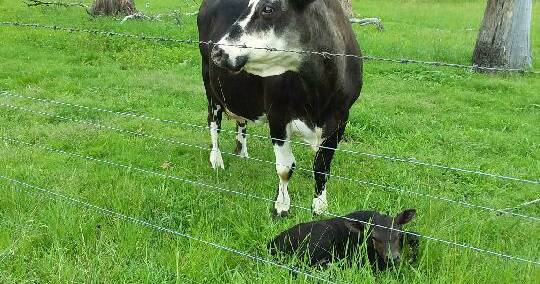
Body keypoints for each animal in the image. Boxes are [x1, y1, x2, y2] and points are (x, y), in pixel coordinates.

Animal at [197, 0, 362, 215]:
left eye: (268, 8)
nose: (218, 51)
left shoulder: (341, 119)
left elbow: (322, 168)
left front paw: (320, 206)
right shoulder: (277, 115)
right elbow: (285, 168)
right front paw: (281, 206)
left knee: (241, 121)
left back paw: (242, 152)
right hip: (210, 87)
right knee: (214, 123)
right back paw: (216, 159)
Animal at [268, 210, 418, 270]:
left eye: (397, 234)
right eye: (373, 237)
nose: (393, 258)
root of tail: (272, 242)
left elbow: (415, 236)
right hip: (321, 237)